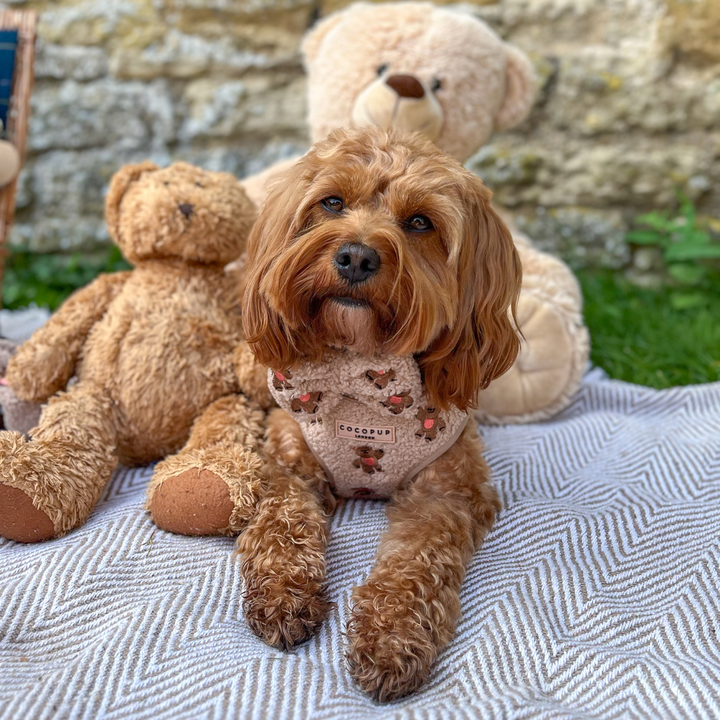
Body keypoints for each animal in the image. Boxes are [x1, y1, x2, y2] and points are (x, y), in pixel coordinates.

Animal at [242, 126, 524, 700]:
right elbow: (283, 519)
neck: (362, 379)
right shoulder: (288, 459)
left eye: (420, 222)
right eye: (332, 202)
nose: (355, 257)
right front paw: (283, 593)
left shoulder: (446, 491)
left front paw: (391, 637)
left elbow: (415, 562)